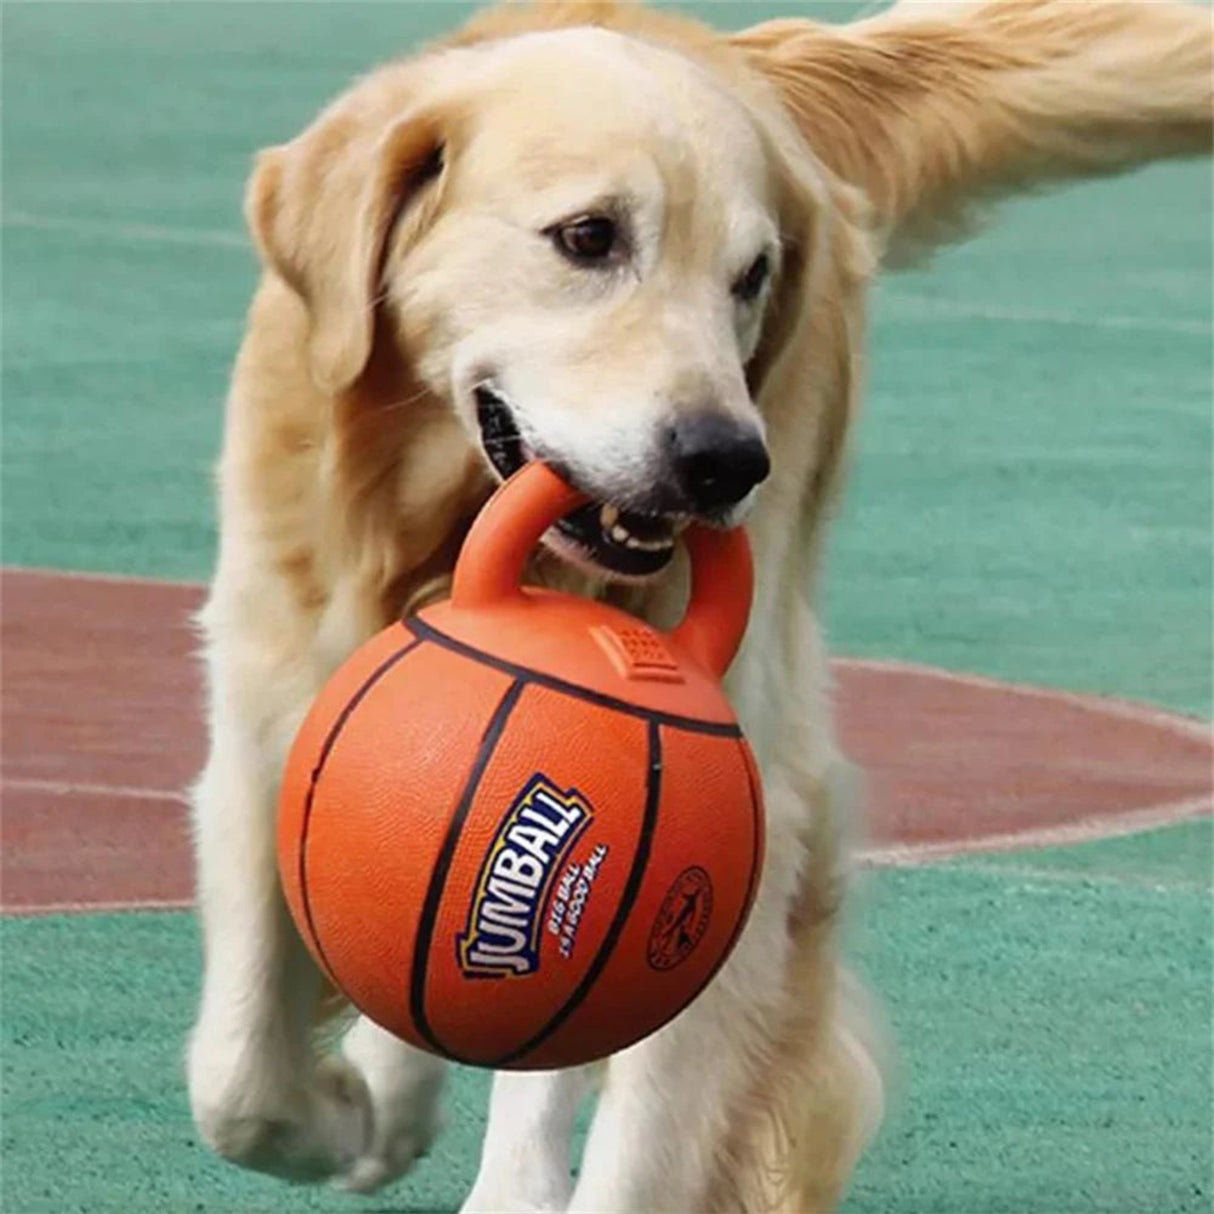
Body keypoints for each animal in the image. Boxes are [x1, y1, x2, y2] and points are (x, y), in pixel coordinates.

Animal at [184, 4, 1209, 1209]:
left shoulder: (730, 820)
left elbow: (645, 1130)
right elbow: (240, 1077)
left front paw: (381, 1104)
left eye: (750, 275)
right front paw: (354, 1113)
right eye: (587, 237)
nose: (725, 461)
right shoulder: (271, 704)